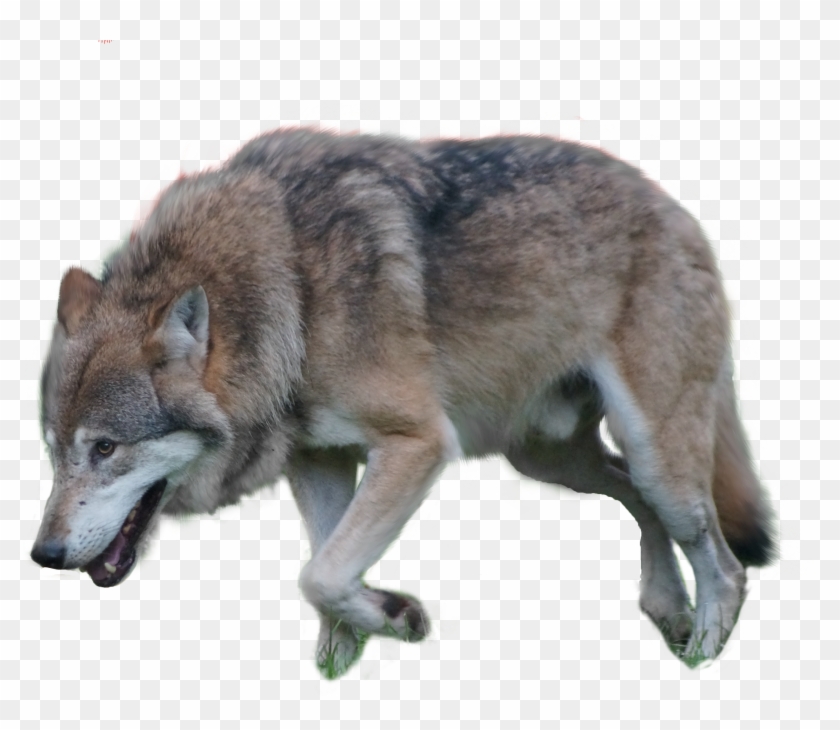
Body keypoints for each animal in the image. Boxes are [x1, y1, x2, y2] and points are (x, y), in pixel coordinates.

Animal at [32, 129, 776, 676]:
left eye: (105, 447)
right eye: (55, 451)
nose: (43, 554)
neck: (291, 295)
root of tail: (673, 206)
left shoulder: (417, 442)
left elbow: (321, 574)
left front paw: (395, 616)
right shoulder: (319, 460)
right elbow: (325, 569)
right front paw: (342, 660)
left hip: (653, 454)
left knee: (725, 564)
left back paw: (703, 654)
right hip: (551, 461)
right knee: (639, 503)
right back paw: (668, 610)